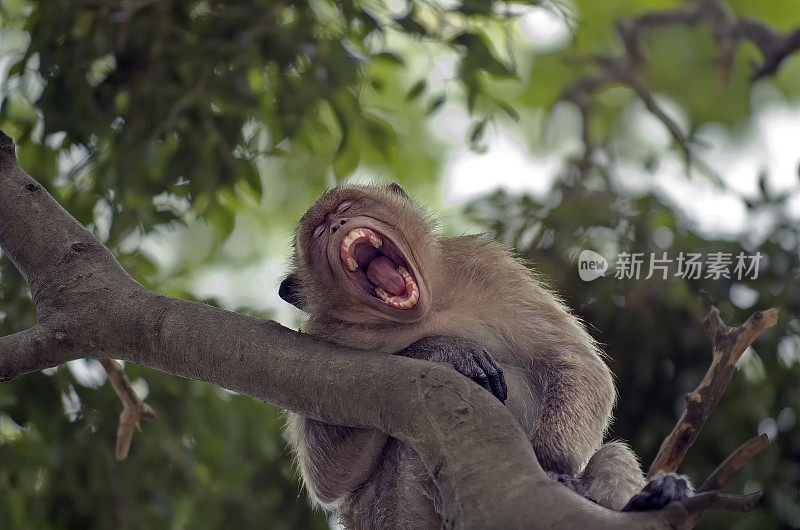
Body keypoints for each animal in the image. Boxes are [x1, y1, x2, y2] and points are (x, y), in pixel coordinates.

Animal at [280, 184, 688, 524]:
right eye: (318, 232)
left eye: (345, 207)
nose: (337, 223)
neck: (427, 309)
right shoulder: (323, 337)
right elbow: (332, 476)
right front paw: (442, 349)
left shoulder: (486, 266)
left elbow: (576, 365)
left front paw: (551, 466)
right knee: (405, 450)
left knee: (611, 456)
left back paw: (649, 498)